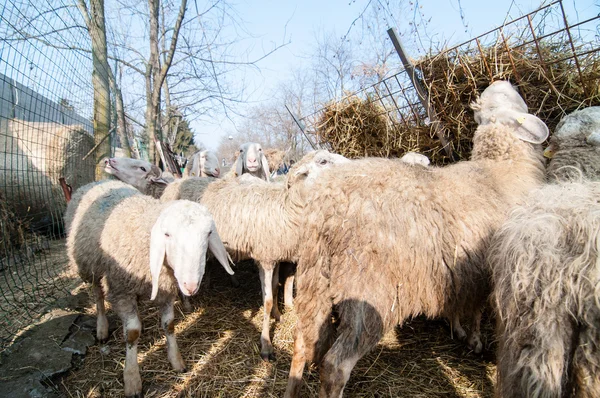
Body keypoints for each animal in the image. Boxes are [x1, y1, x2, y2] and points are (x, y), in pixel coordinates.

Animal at [64, 181, 234, 398]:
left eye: (209, 233)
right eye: (167, 234)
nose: (190, 286)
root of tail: (99, 182)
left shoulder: (166, 290)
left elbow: (169, 325)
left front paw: (176, 360)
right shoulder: (121, 289)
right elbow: (132, 333)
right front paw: (132, 379)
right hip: (91, 265)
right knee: (98, 294)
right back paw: (102, 327)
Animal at [159, 149, 352, 360]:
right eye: (323, 161)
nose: (355, 167)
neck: (286, 208)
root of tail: (173, 185)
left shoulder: (275, 256)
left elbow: (275, 288)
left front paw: (278, 315)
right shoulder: (265, 258)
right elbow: (267, 300)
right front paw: (266, 344)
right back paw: (186, 304)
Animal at [284, 79, 552, 396]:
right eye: (509, 98)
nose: (505, 81)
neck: (502, 170)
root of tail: (328, 202)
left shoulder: (464, 271)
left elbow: (461, 305)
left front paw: (458, 330)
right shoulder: (490, 274)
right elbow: (477, 311)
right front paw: (474, 341)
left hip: (314, 277)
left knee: (302, 342)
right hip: (370, 292)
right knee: (335, 365)